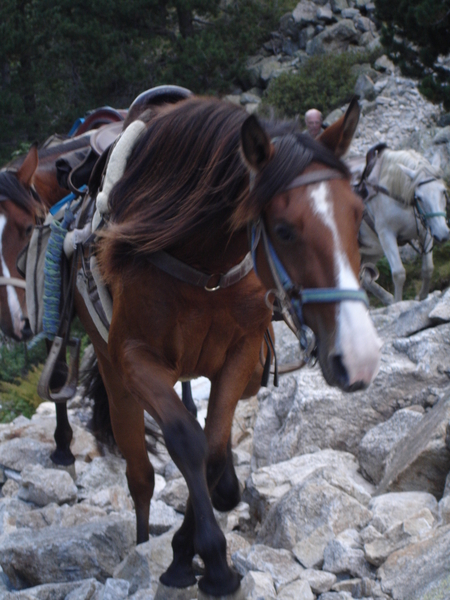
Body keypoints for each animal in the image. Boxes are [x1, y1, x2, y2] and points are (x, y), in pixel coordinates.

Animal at [73, 96, 380, 596]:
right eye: (284, 229)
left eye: (358, 213)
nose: (360, 357)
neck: (205, 265)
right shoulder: (135, 358)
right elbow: (187, 441)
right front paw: (208, 561)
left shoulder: (243, 352)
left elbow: (214, 451)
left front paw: (189, 549)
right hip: (116, 379)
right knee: (140, 476)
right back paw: (141, 545)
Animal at [348, 145, 450, 304]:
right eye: (419, 197)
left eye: (443, 191)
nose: (443, 234)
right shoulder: (386, 234)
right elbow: (398, 273)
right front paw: (398, 302)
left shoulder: (426, 231)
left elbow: (428, 269)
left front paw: (422, 297)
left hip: (371, 252)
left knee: (364, 277)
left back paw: (386, 297)